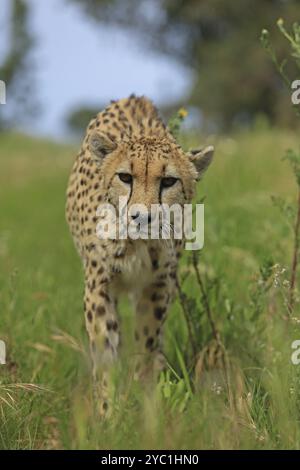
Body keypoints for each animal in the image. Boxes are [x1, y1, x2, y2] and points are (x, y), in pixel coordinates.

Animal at [65, 96, 213, 414]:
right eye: (125, 177)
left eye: (168, 181)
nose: (142, 217)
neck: (138, 244)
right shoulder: (99, 285)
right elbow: (105, 351)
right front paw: (107, 410)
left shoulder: (158, 286)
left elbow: (147, 341)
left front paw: (145, 401)